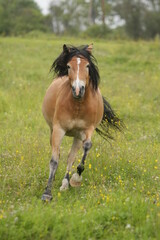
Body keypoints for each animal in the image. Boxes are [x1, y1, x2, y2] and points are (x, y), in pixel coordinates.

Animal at [41, 43, 122, 201]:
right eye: (68, 66)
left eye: (87, 66)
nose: (78, 90)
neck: (78, 105)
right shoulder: (58, 129)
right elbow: (54, 160)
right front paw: (47, 193)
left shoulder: (86, 130)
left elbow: (87, 147)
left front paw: (76, 178)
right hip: (53, 131)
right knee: (58, 154)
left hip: (77, 137)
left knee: (70, 158)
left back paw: (65, 184)